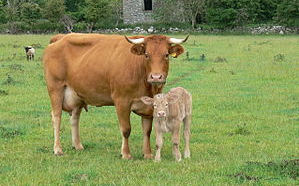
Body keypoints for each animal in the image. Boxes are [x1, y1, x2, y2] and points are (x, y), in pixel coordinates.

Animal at [43, 33, 189, 158]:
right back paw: (58, 149)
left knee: (74, 118)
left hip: (76, 93)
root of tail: (60, 38)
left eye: (166, 55)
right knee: (56, 117)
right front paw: (125, 154)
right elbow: (126, 129)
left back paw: (77, 146)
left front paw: (147, 154)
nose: (156, 77)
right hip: (55, 88)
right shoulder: (121, 101)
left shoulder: (149, 107)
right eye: (147, 55)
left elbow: (147, 130)